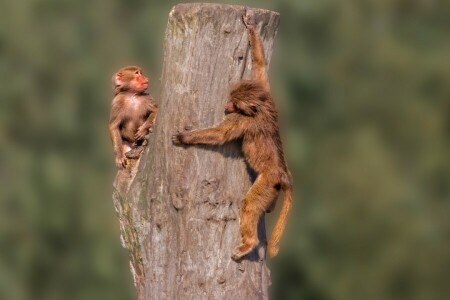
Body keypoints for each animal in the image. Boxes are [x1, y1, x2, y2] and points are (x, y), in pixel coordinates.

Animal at [171, 8, 292, 258]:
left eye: (235, 104)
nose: (226, 105)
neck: (261, 106)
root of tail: (283, 174)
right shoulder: (264, 89)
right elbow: (260, 65)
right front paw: (252, 25)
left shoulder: (242, 120)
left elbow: (221, 134)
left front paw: (184, 138)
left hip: (268, 183)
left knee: (250, 205)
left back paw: (248, 244)